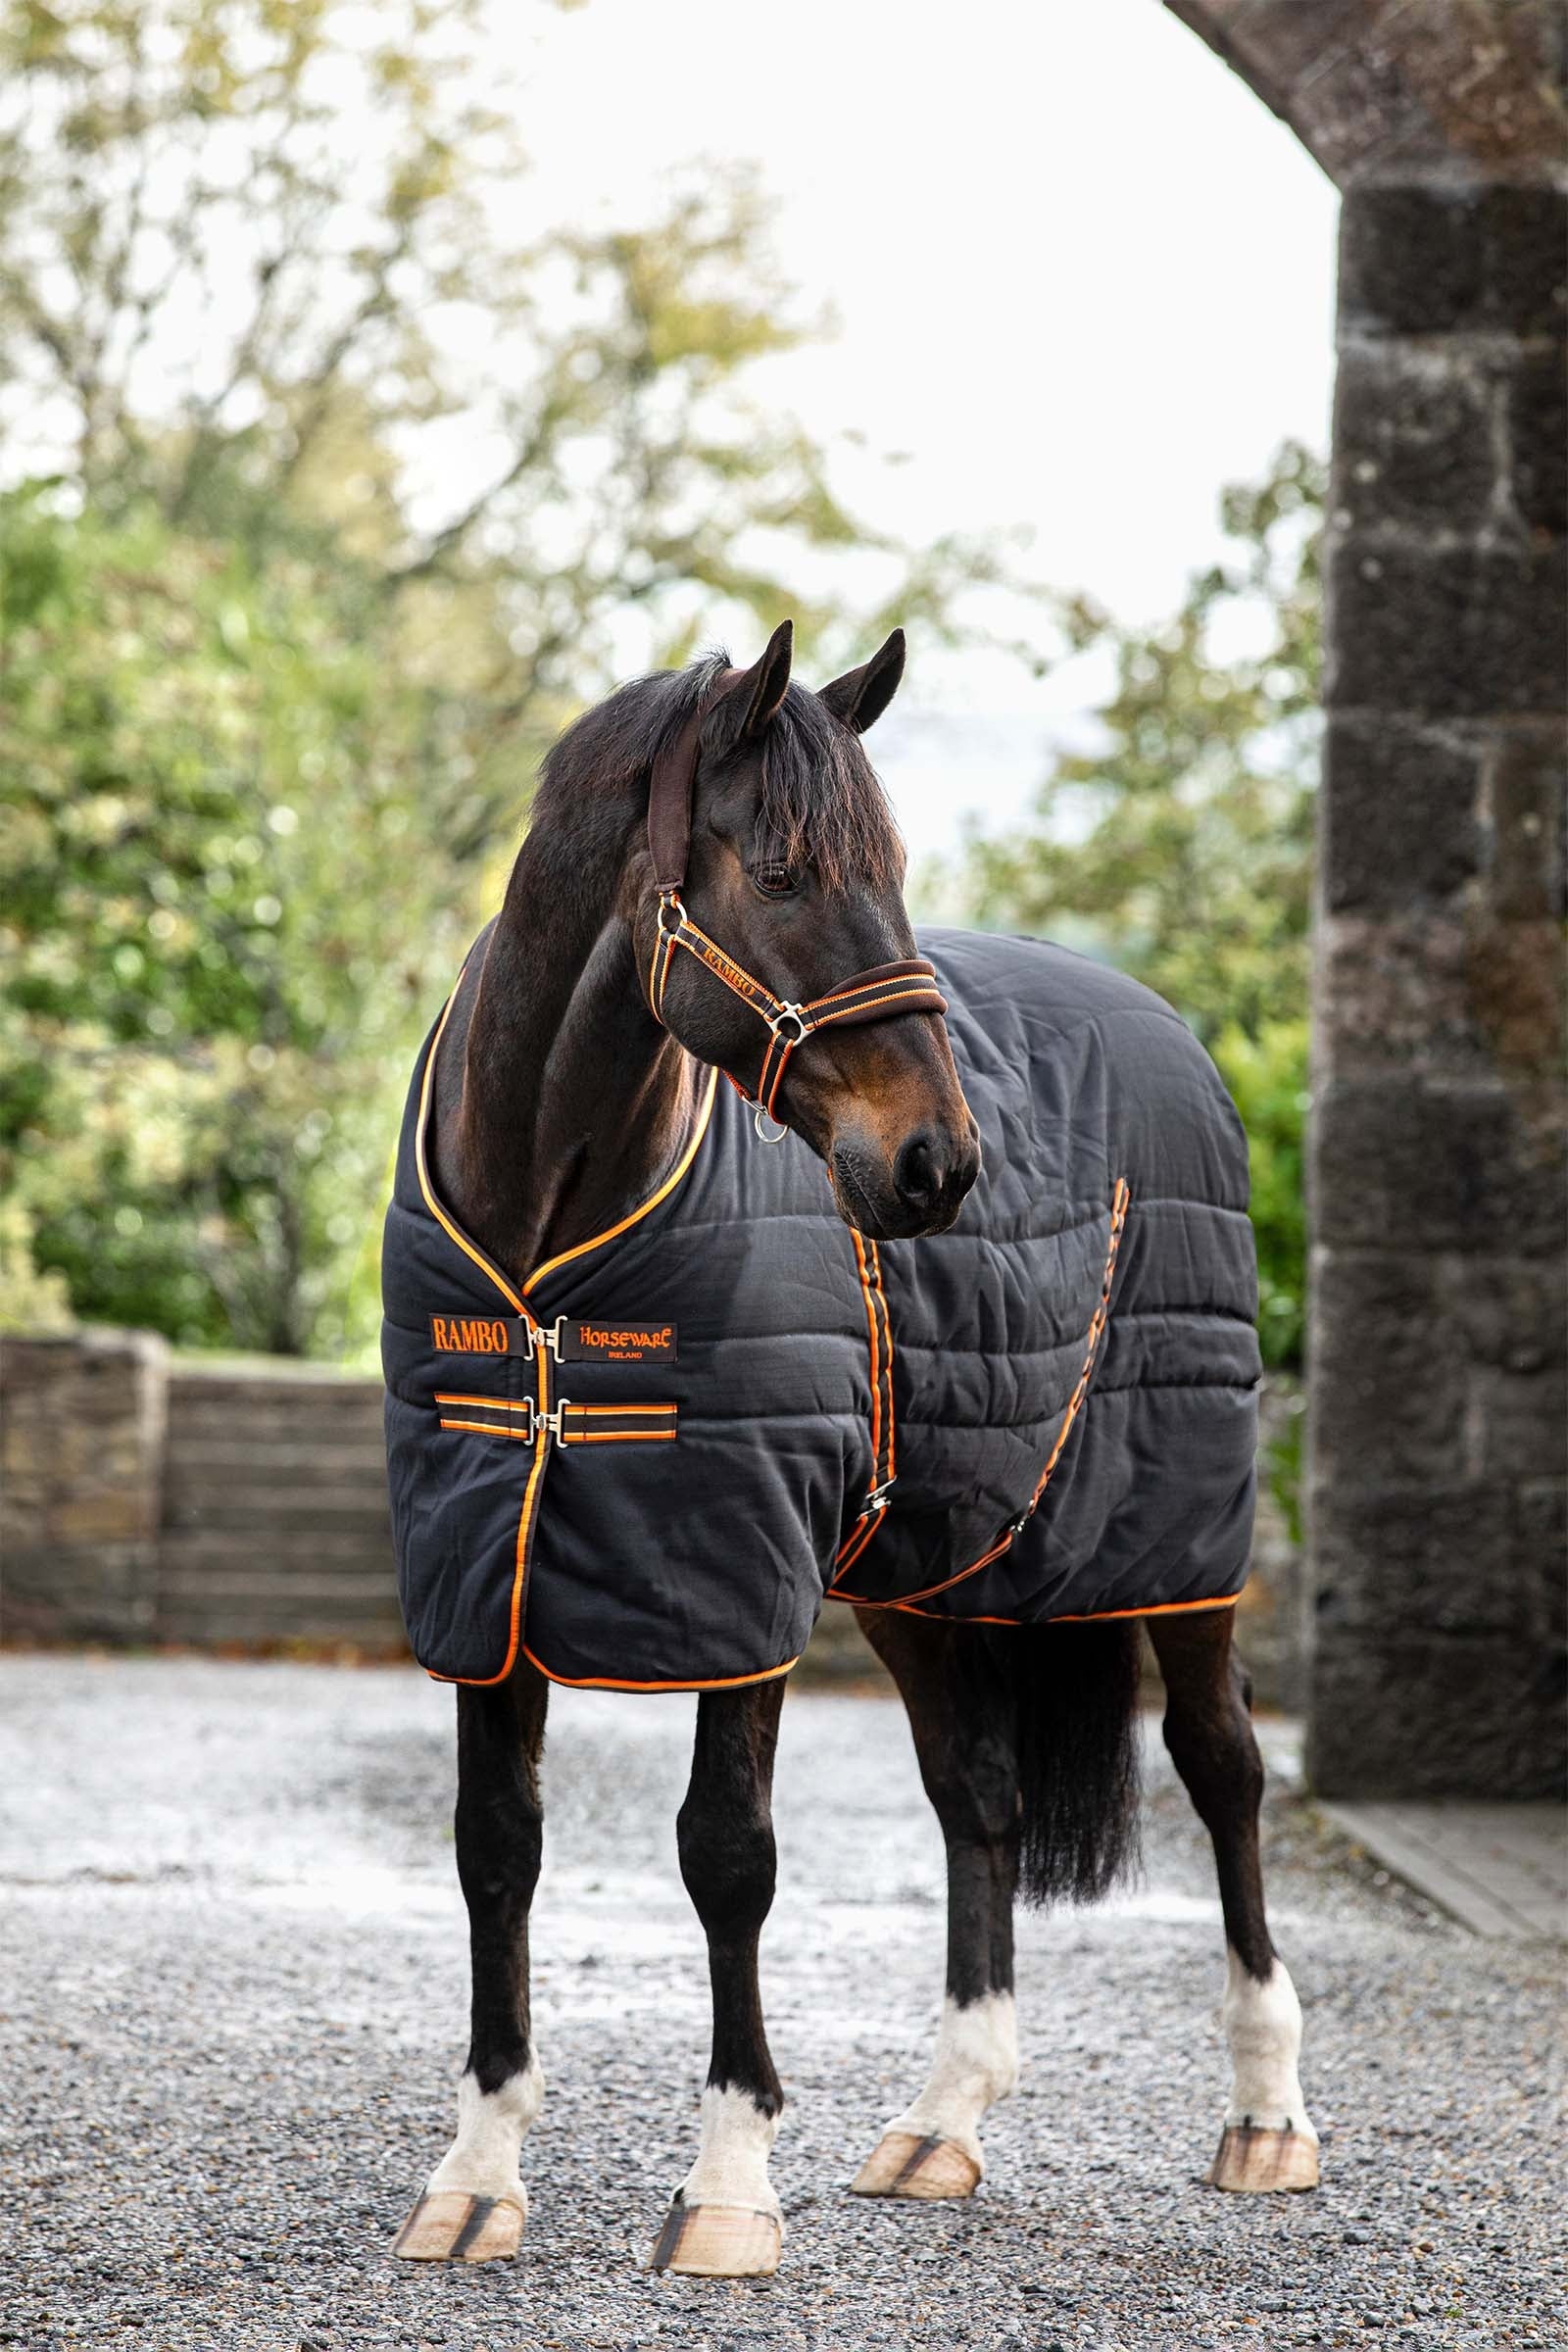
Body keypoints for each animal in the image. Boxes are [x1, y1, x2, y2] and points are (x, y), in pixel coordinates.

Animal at [380, 620, 1317, 2278]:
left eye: (890, 868)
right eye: (783, 871)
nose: (940, 1164)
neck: (547, 1252)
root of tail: (1163, 1026)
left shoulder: (737, 1572)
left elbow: (727, 1857)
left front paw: (728, 2188)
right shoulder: (487, 1571)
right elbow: (496, 1847)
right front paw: (478, 2176)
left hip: (1179, 1541)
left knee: (1226, 1772)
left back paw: (1269, 2116)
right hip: (927, 1564)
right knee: (980, 1798)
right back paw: (944, 2121)